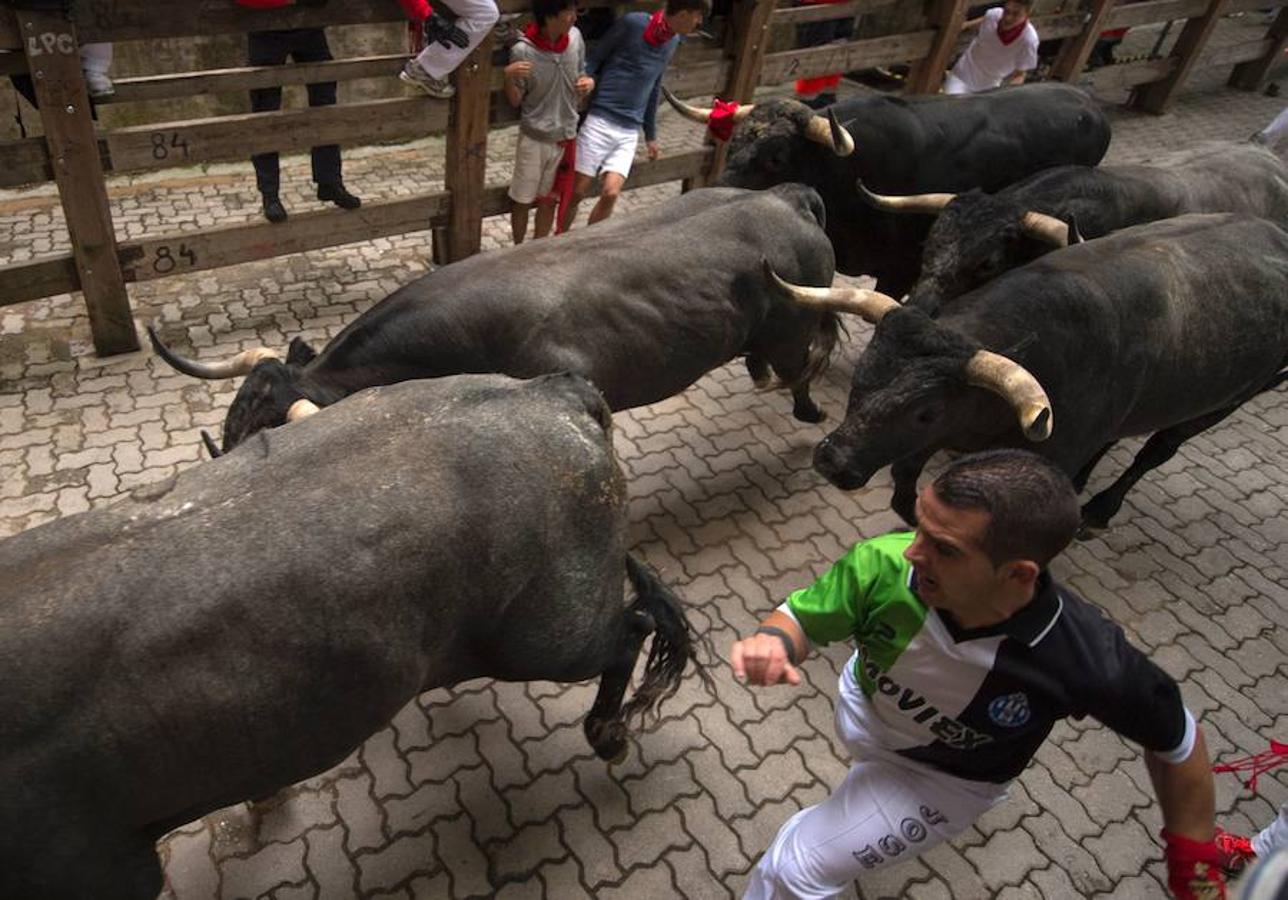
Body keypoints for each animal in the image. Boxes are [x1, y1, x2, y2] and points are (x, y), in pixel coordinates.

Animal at [762, 215, 1288, 527]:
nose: (834, 460)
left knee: (1156, 451)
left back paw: (1100, 509)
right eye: (862, 377)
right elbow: (905, 476)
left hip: (1222, 404)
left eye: (925, 411)